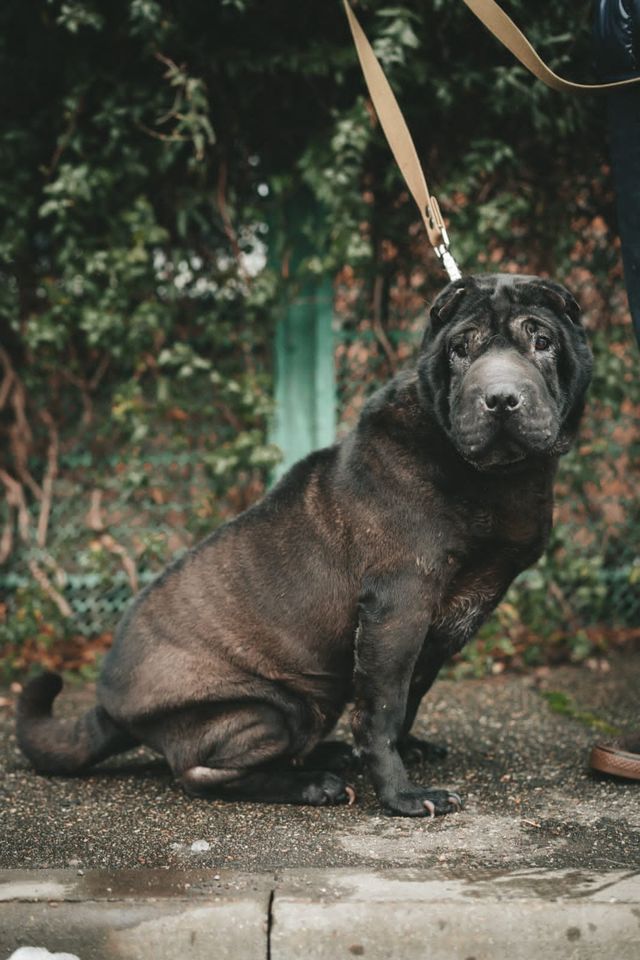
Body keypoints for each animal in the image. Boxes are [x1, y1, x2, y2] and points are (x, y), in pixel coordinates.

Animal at [18, 272, 592, 816]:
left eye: (541, 340)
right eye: (459, 348)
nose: (501, 399)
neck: (492, 478)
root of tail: (107, 707)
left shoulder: (439, 630)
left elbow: (409, 697)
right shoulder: (398, 606)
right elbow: (383, 710)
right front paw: (402, 795)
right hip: (275, 710)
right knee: (199, 773)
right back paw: (314, 783)